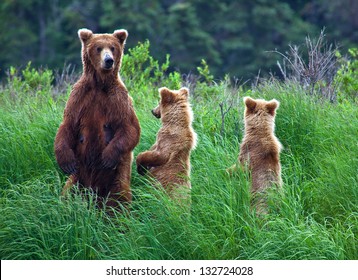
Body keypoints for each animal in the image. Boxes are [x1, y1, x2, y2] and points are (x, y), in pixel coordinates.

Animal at [54, 28, 140, 209]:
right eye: (98, 48)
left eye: (113, 47)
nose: (108, 60)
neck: (100, 84)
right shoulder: (79, 97)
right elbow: (67, 125)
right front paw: (66, 162)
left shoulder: (118, 99)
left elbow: (129, 128)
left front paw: (107, 157)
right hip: (78, 177)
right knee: (68, 192)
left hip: (116, 178)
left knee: (119, 198)